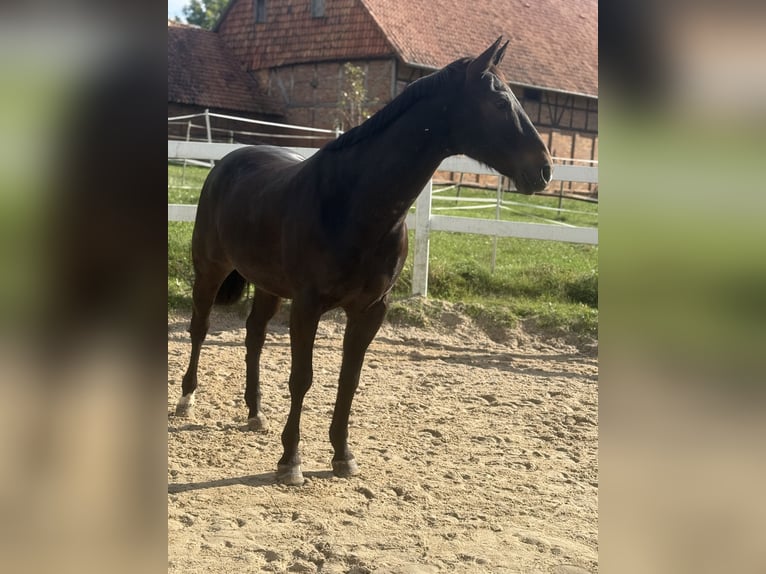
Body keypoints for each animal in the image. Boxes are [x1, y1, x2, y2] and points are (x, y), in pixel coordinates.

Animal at [174, 37, 553, 485]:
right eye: (498, 102)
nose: (544, 170)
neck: (354, 202)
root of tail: (227, 162)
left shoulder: (371, 309)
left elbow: (349, 381)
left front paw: (342, 456)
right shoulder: (308, 307)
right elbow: (302, 379)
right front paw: (291, 461)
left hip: (268, 285)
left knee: (254, 337)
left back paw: (255, 412)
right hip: (209, 270)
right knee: (200, 328)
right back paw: (187, 399)